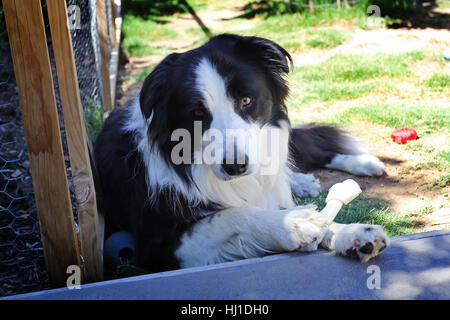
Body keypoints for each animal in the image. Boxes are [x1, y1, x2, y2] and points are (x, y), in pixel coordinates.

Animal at [96, 33, 390, 272]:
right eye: (197, 112)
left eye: (246, 100)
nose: (235, 166)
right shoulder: (159, 246)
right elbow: (232, 215)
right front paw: (294, 223)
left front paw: (353, 233)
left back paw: (361, 164)